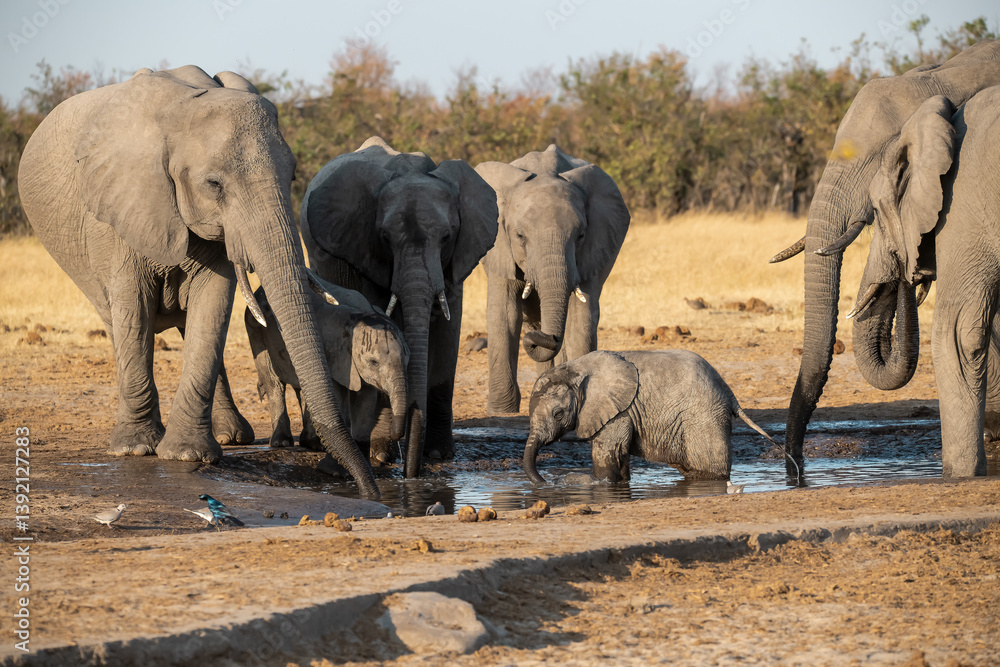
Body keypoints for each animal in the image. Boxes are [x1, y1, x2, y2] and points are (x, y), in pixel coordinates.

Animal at [17, 65, 381, 498]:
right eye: (214, 185)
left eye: (292, 176)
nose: (372, 493)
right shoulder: (115, 211)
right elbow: (133, 308)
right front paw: (136, 449)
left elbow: (213, 307)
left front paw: (187, 456)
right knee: (118, 322)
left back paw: (231, 438)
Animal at [245, 277, 409, 462]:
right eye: (373, 362)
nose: (397, 436)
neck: (356, 316)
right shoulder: (332, 355)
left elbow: (365, 396)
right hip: (256, 333)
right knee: (274, 383)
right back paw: (283, 443)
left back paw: (312, 443)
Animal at [301, 136, 499, 477]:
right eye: (384, 236)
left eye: (446, 236)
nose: (410, 474)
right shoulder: (364, 250)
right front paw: (381, 455)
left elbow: (447, 332)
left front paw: (438, 454)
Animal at [475, 145, 631, 415]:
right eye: (520, 236)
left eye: (580, 235)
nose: (543, 338)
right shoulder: (499, 250)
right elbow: (505, 313)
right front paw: (501, 412)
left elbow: (581, 316)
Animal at [522, 350, 784, 484]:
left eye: (558, 414)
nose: (547, 482)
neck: (576, 369)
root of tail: (729, 392)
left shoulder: (619, 409)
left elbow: (608, 452)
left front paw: (596, 483)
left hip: (704, 414)